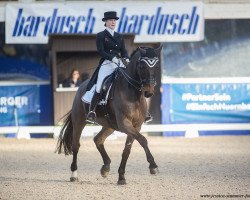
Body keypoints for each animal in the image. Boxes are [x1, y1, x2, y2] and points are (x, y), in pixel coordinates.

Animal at [56, 45, 162, 184]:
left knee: (98, 139)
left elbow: (127, 150)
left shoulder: (136, 126)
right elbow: (143, 140)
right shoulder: (124, 123)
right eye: (142, 66)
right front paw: (153, 166)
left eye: (157, 66)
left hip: (109, 125)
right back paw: (74, 174)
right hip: (79, 121)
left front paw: (121, 177)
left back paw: (105, 167)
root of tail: (81, 87)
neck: (133, 94)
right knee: (76, 145)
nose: (149, 92)